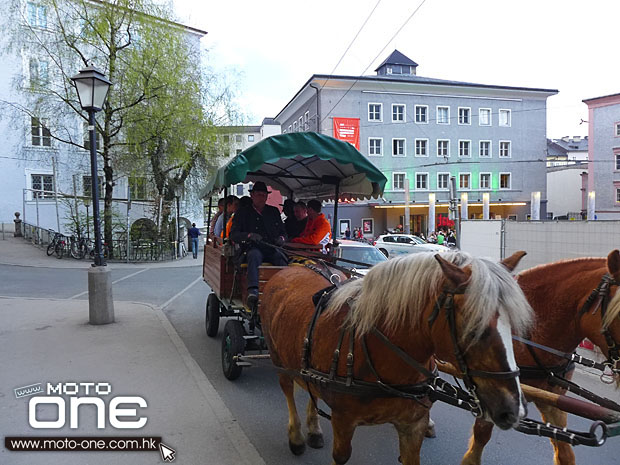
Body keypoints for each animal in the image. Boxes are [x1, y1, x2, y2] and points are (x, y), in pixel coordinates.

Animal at [260, 250, 532, 464]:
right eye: (474, 327)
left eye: (513, 326)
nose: (513, 409)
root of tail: (292, 268)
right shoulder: (343, 422)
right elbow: (341, 455)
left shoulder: (413, 427)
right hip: (278, 358)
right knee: (287, 389)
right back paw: (296, 436)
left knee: (311, 388)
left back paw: (314, 428)